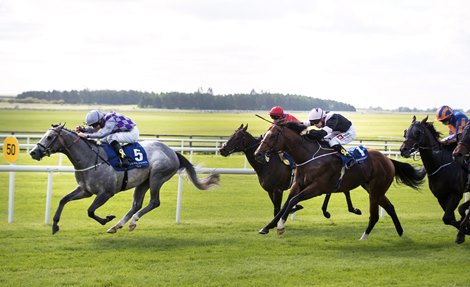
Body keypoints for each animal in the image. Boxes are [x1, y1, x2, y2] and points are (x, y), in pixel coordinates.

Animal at [29, 125, 220, 235]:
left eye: (49, 137)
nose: (33, 152)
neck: (90, 158)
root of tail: (172, 151)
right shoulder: (85, 190)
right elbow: (63, 200)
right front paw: (55, 225)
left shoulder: (106, 193)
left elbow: (90, 211)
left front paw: (107, 218)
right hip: (142, 183)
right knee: (137, 204)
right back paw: (117, 226)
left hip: (157, 177)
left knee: (154, 202)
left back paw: (132, 222)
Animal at [218, 124, 362, 218]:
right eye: (231, 135)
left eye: (237, 137)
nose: (222, 149)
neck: (267, 164)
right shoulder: (270, 190)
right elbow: (279, 207)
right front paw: (293, 209)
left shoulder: (277, 189)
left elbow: (277, 208)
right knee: (340, 189)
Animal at [253, 122, 426, 240]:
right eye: (264, 134)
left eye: (273, 136)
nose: (258, 154)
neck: (308, 156)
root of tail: (388, 160)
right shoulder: (298, 185)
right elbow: (286, 204)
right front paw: (267, 227)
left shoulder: (318, 188)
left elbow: (293, 201)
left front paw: (281, 226)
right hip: (372, 188)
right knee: (390, 207)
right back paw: (401, 233)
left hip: (376, 189)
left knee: (375, 215)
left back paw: (364, 237)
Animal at [398, 116, 468, 244]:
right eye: (406, 131)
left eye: (418, 132)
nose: (403, 150)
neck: (441, 163)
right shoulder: (441, 196)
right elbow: (448, 218)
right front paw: (464, 228)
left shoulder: (456, 194)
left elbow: (447, 217)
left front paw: (463, 231)